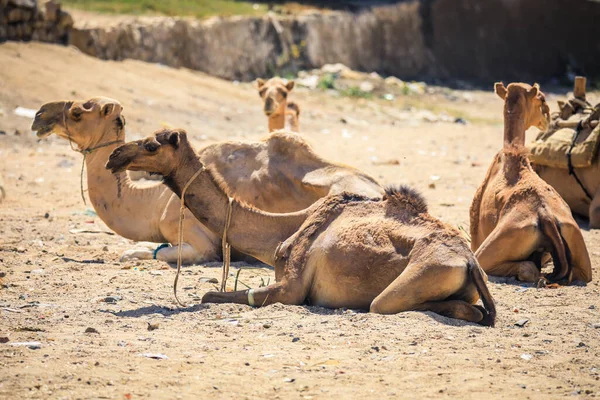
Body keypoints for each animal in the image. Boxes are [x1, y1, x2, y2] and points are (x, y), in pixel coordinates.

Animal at [106, 130, 496, 326]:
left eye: (151, 145)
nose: (114, 156)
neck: (285, 227)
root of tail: (470, 262)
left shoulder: (291, 287)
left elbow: (211, 295)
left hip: (420, 275)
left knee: (392, 303)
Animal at [468, 83, 592, 284]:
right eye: (541, 99)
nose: (547, 116)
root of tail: (546, 217)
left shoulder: (475, 238)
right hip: (578, 247)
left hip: (490, 247)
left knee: (525, 268)